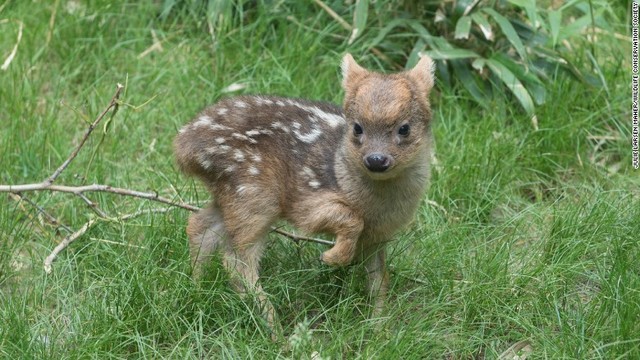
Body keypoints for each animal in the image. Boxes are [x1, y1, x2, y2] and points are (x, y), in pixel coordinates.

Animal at [175, 52, 436, 330]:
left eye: (404, 128)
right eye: (357, 127)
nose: (376, 160)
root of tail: (184, 146)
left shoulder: (379, 235)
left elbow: (379, 279)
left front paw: (379, 327)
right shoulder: (306, 202)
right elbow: (350, 219)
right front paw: (332, 258)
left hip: (231, 192)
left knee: (200, 226)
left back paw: (196, 288)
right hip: (254, 191)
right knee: (236, 260)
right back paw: (275, 329)